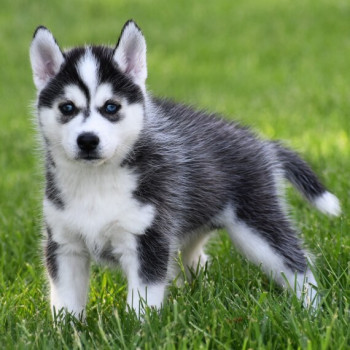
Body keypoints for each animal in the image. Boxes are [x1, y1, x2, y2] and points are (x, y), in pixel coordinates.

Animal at [30, 20, 342, 318]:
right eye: (67, 107)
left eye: (110, 107)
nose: (87, 140)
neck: (96, 180)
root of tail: (263, 143)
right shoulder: (64, 245)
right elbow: (65, 300)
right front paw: (66, 329)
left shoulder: (149, 241)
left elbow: (143, 301)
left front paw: (140, 329)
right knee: (197, 261)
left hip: (258, 226)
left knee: (296, 261)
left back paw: (312, 310)